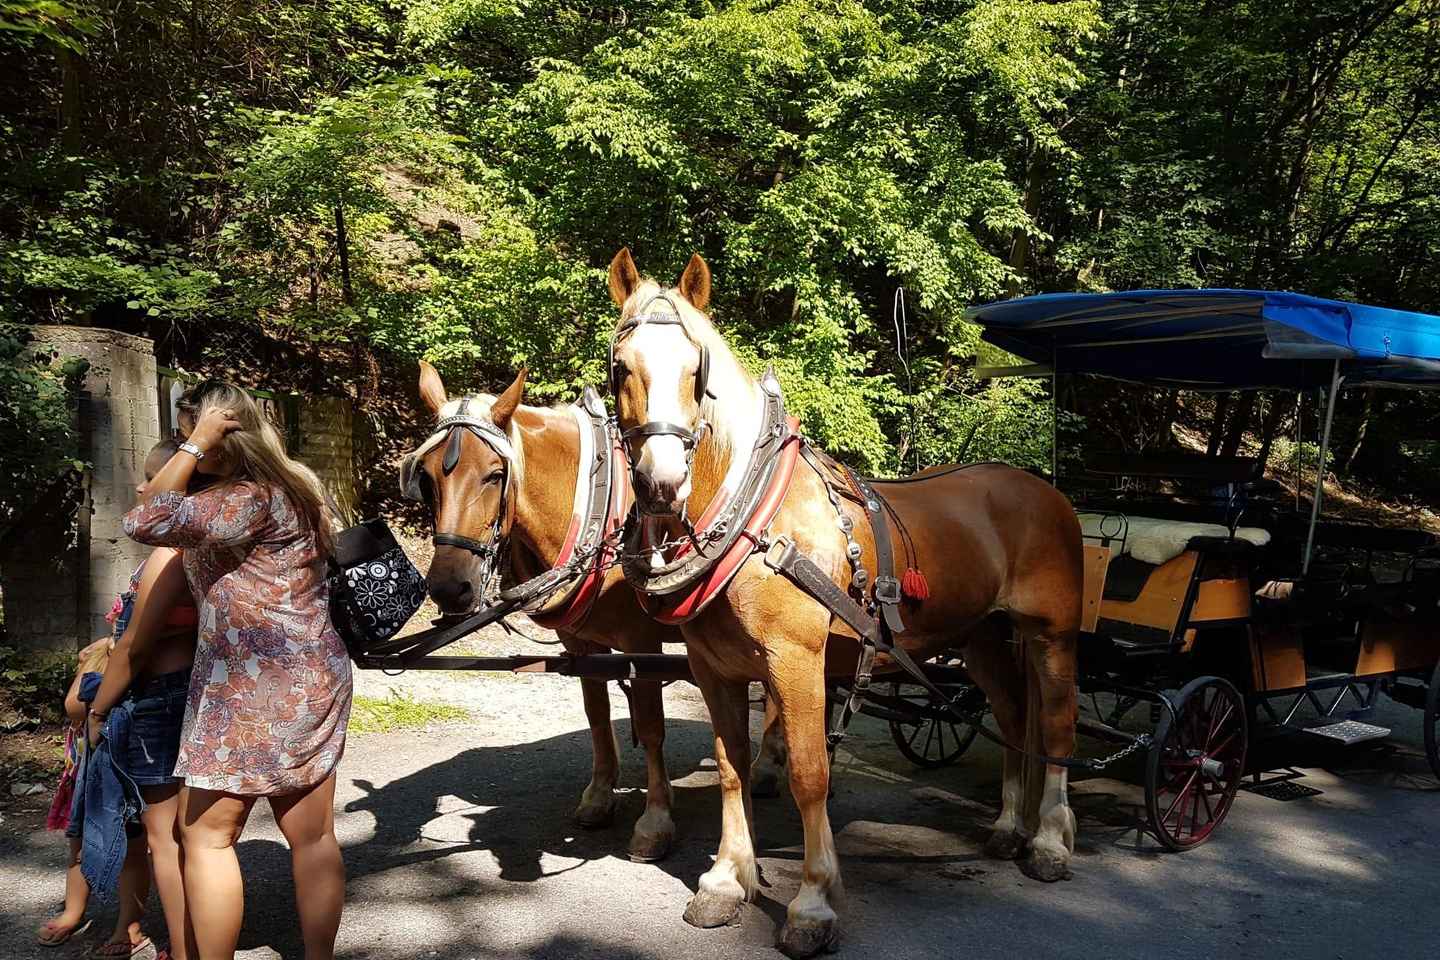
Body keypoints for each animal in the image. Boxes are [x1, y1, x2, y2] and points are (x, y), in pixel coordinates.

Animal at [410, 361, 680, 862]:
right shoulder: (581, 643)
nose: (450, 588)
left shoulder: (643, 643)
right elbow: (596, 714)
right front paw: (599, 796)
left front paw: (655, 821)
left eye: (495, 474)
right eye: (428, 478)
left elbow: (652, 727)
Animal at [607, 248, 1084, 956]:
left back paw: (1050, 840)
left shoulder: (796, 663)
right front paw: (725, 880)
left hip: (1051, 635)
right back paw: (1007, 827)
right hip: (981, 639)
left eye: (698, 370)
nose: (662, 482)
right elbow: (731, 767)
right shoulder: (713, 667)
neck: (754, 521)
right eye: (621, 367)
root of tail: (1042, 490)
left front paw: (812, 903)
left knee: (1054, 724)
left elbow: (810, 774)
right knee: (1012, 713)